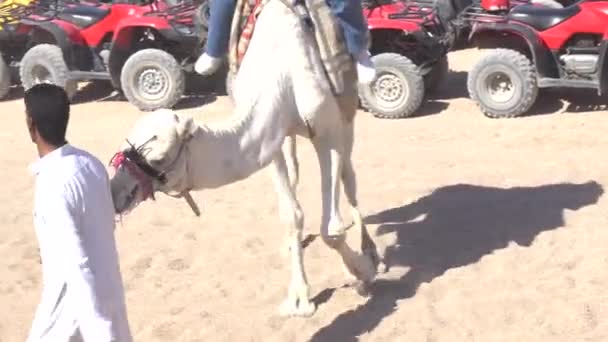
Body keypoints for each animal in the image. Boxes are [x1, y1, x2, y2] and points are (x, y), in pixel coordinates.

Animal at [109, 0, 380, 316]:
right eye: (126, 145)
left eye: (159, 159)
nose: (116, 192)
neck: (282, 73)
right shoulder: (272, 140)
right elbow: (291, 215)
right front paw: (299, 298)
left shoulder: (327, 132)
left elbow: (332, 230)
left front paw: (363, 271)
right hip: (291, 135)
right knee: (298, 173)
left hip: (345, 113)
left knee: (349, 177)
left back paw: (371, 251)